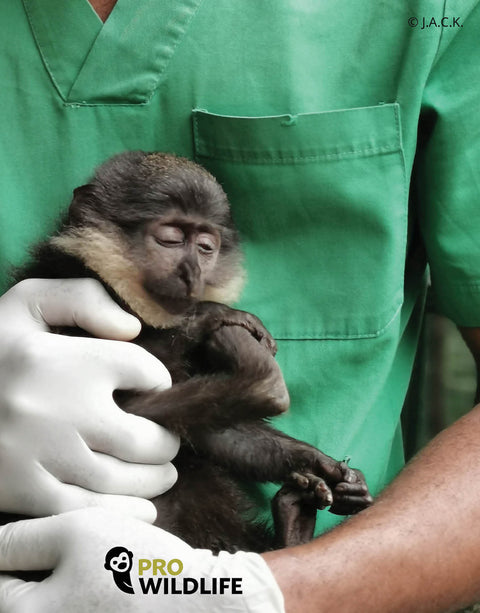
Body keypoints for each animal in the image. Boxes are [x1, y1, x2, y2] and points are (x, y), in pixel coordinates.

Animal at [15, 152, 372, 548]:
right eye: (170, 239)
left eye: (205, 247)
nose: (193, 274)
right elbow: (120, 410)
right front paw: (211, 316)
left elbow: (216, 435)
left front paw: (321, 463)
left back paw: (293, 524)